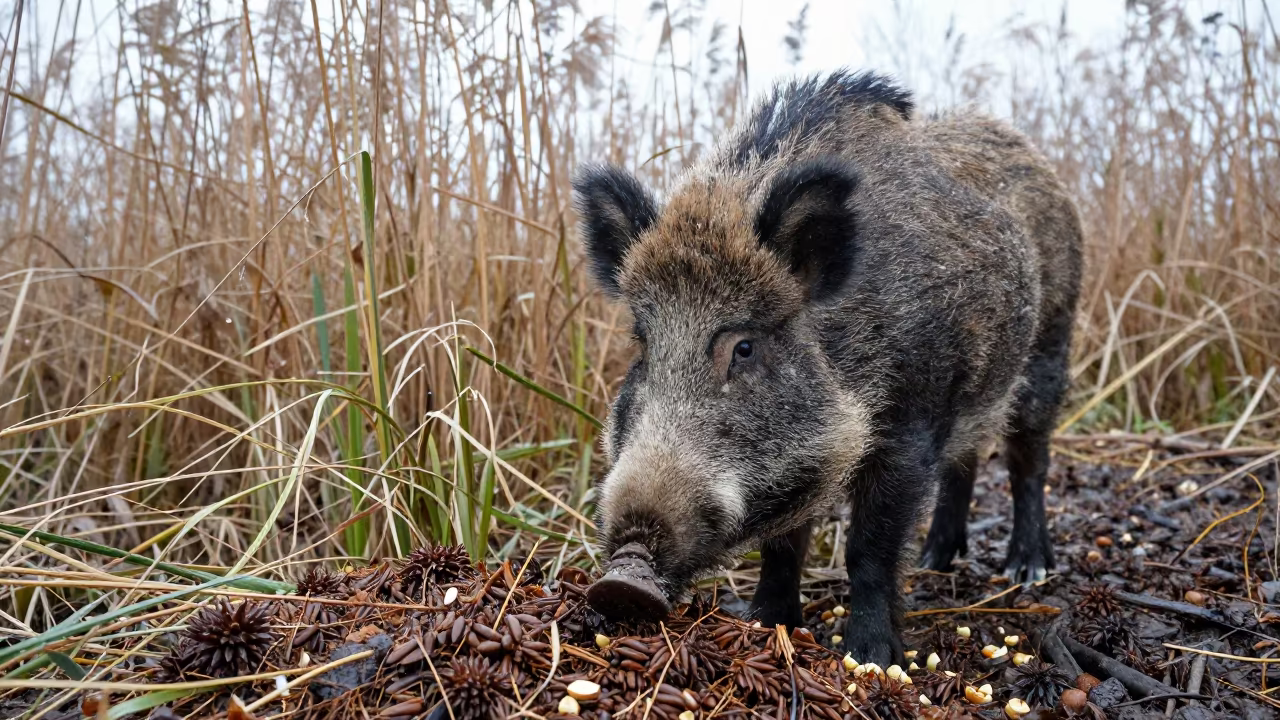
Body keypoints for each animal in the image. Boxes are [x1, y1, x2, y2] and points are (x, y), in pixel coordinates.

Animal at [572, 69, 1083, 665]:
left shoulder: (909, 424)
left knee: (1028, 460)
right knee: (967, 459)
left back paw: (1027, 570)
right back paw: (934, 560)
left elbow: (869, 548)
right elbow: (783, 546)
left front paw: (873, 658)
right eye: (643, 342)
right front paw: (768, 624)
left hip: (1051, 343)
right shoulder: (793, 466)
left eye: (744, 348)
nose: (622, 579)